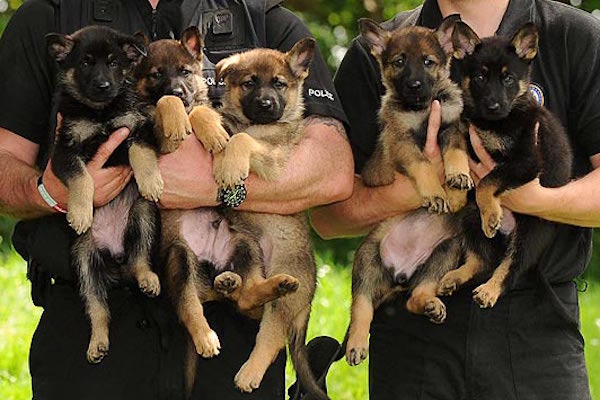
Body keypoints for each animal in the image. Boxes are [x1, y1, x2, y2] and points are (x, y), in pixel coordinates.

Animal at [46, 24, 163, 362]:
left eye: (113, 62)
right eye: (85, 62)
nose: (103, 85)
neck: (99, 113)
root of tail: (115, 253)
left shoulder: (137, 127)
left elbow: (140, 152)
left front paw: (150, 181)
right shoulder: (65, 150)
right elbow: (83, 178)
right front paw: (80, 211)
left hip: (143, 216)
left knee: (139, 257)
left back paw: (148, 278)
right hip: (83, 261)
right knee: (98, 308)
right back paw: (97, 343)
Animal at [344, 14, 472, 366]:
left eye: (428, 62)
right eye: (399, 62)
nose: (414, 85)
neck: (422, 107)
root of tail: (400, 274)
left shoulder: (453, 127)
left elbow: (457, 155)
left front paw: (458, 186)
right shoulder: (401, 143)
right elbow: (424, 165)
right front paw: (436, 193)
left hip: (446, 253)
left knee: (416, 295)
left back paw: (429, 303)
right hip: (366, 263)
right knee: (361, 307)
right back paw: (356, 344)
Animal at [432, 21, 572, 310]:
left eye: (508, 78)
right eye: (480, 77)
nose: (493, 106)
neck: (494, 123)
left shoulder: (527, 161)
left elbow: (488, 181)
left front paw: (491, 212)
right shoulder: (465, 134)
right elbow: (455, 154)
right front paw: (455, 190)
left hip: (530, 231)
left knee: (511, 267)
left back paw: (490, 290)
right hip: (469, 217)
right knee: (482, 259)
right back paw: (454, 277)